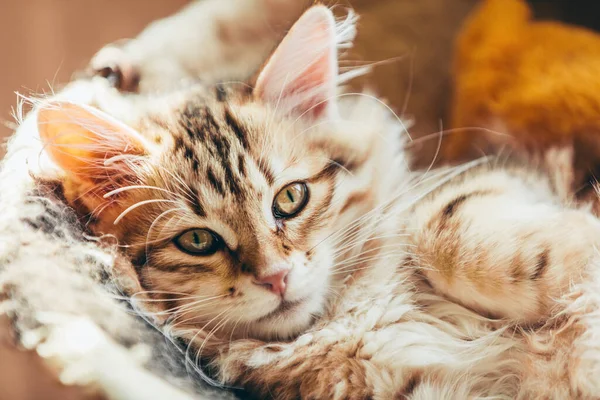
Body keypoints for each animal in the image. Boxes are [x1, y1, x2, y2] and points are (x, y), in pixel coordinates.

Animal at [34, 3, 600, 400]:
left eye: (290, 199)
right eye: (197, 241)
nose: (276, 278)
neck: (346, 322)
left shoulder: (508, 172)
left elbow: (436, 226)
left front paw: (583, 265)